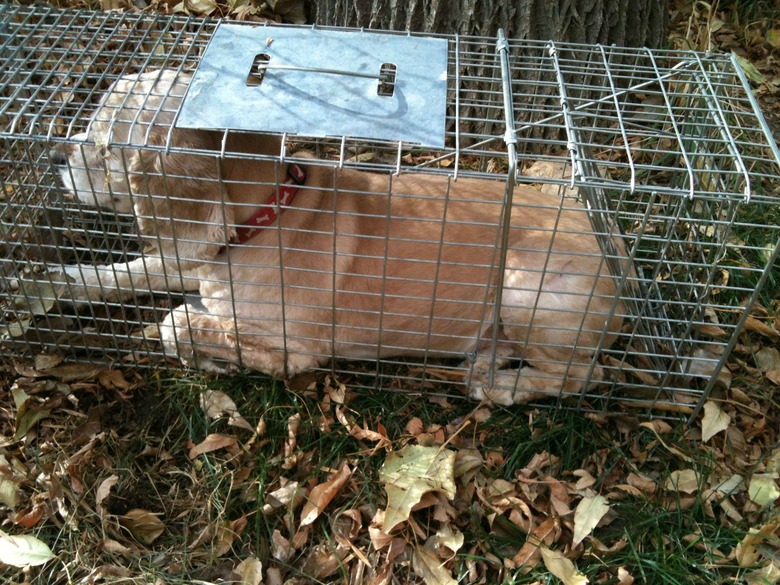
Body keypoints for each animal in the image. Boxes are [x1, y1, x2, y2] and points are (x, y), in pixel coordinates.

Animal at [48, 68, 632, 404]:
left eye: (103, 143)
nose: (55, 154)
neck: (272, 212)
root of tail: (618, 257)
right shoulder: (199, 260)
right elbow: (138, 271)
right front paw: (59, 285)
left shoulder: (294, 347)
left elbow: (178, 324)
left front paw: (208, 352)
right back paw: (489, 361)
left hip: (529, 288)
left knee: (586, 376)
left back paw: (503, 386)